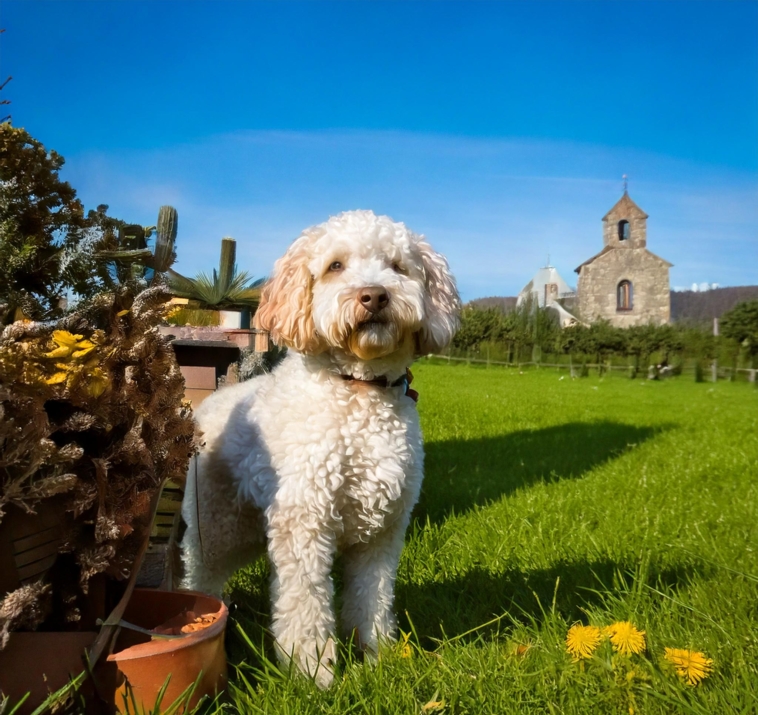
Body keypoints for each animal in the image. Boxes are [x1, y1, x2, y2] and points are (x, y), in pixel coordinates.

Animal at [181, 211, 460, 688]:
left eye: (398, 267)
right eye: (335, 266)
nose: (375, 295)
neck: (359, 389)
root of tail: (213, 403)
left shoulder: (383, 534)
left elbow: (372, 598)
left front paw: (378, 656)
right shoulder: (304, 526)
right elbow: (306, 606)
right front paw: (314, 672)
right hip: (217, 526)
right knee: (200, 573)